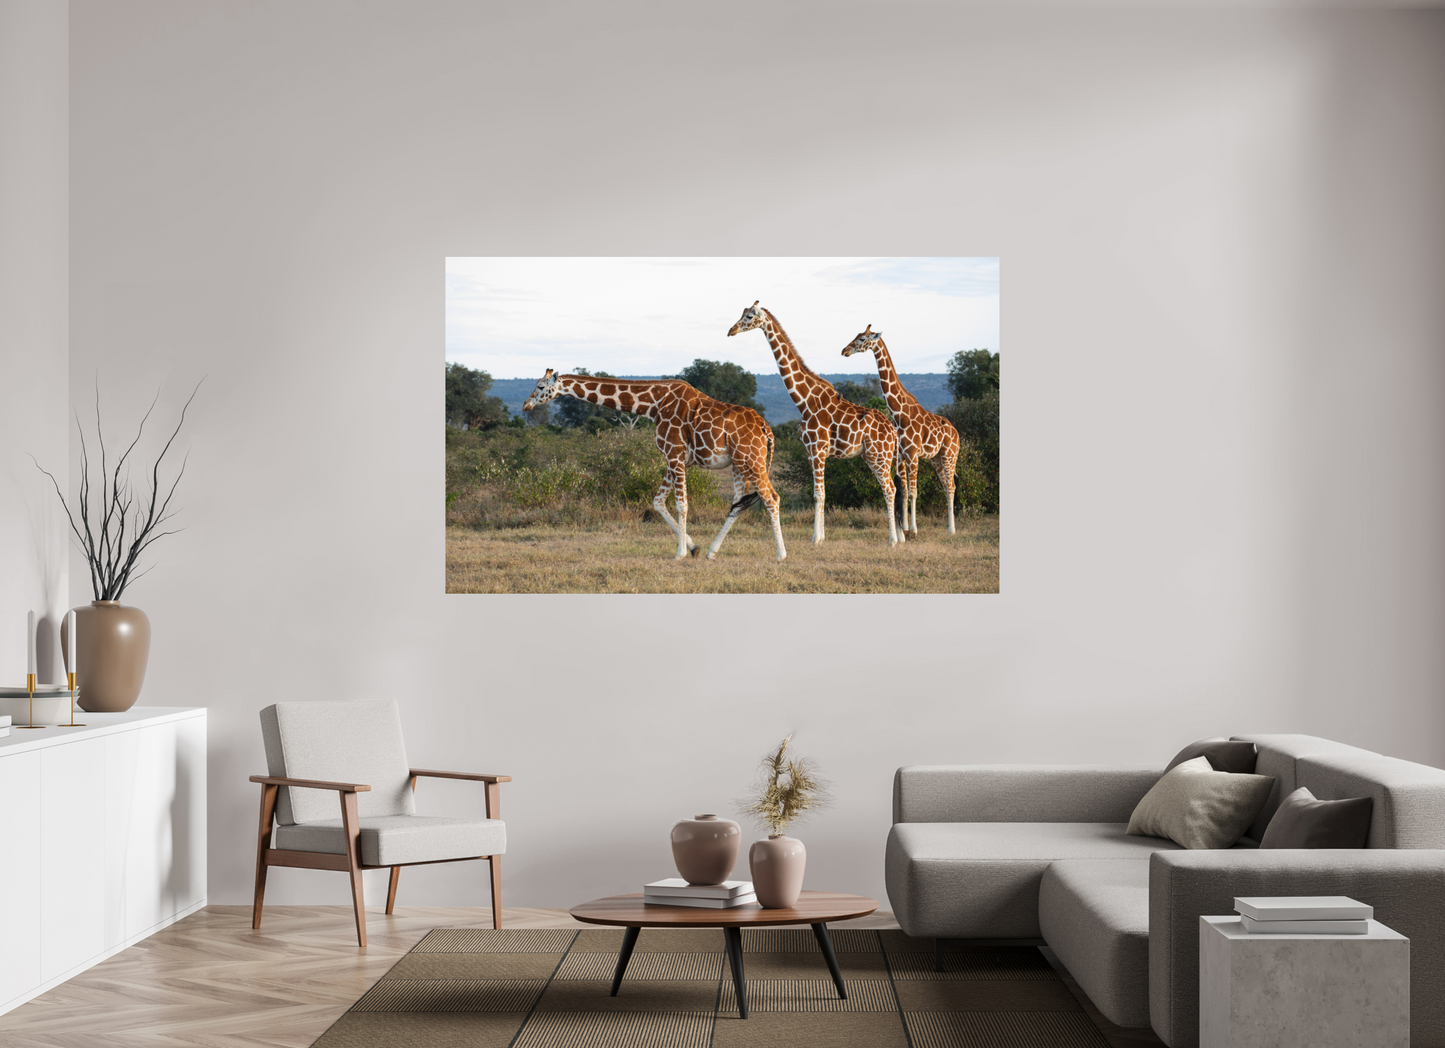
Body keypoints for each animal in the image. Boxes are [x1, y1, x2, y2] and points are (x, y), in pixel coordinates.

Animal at [522, 370, 786, 561]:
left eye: (541, 387)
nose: (526, 405)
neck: (653, 404)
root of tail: (767, 429)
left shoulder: (675, 454)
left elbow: (682, 505)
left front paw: (680, 554)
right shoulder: (673, 458)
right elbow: (658, 502)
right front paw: (693, 548)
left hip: (751, 459)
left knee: (771, 497)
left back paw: (781, 554)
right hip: (738, 463)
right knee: (738, 503)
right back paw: (712, 552)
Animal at [728, 302, 899, 547]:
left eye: (750, 316)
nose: (731, 330)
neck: (804, 400)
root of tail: (893, 431)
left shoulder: (818, 449)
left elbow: (819, 494)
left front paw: (815, 539)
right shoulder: (810, 451)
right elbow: (820, 493)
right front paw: (821, 537)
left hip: (880, 455)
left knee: (890, 488)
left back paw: (893, 540)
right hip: (872, 456)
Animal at [842, 326, 961, 536]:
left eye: (862, 338)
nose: (844, 351)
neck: (898, 412)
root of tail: (957, 433)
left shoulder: (913, 454)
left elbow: (913, 492)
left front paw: (913, 530)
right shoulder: (900, 455)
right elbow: (904, 491)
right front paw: (904, 529)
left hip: (949, 455)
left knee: (952, 486)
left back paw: (951, 529)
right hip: (936, 459)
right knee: (946, 486)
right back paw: (949, 527)